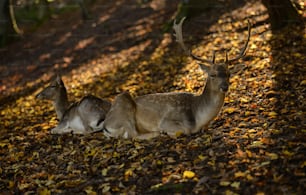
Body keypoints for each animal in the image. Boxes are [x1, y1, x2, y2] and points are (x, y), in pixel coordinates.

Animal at [103, 16, 251, 139]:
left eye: (229, 74)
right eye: (212, 74)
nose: (224, 87)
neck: (198, 119)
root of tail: (105, 125)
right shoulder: (167, 121)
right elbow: (184, 130)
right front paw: (167, 132)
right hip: (123, 104)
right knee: (133, 135)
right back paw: (158, 133)